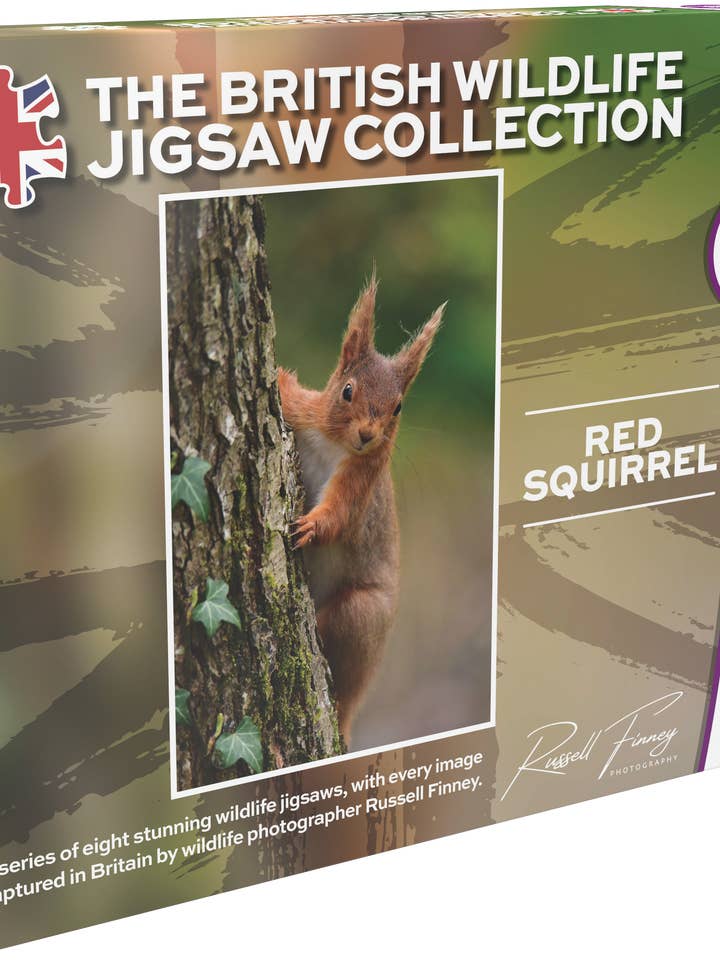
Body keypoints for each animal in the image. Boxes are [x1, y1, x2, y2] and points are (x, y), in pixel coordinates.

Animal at [278, 274, 444, 745]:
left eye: (398, 406)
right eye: (347, 390)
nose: (368, 435)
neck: (336, 444)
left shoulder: (361, 483)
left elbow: (339, 517)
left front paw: (311, 528)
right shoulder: (305, 411)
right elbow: (289, 392)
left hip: (361, 615)